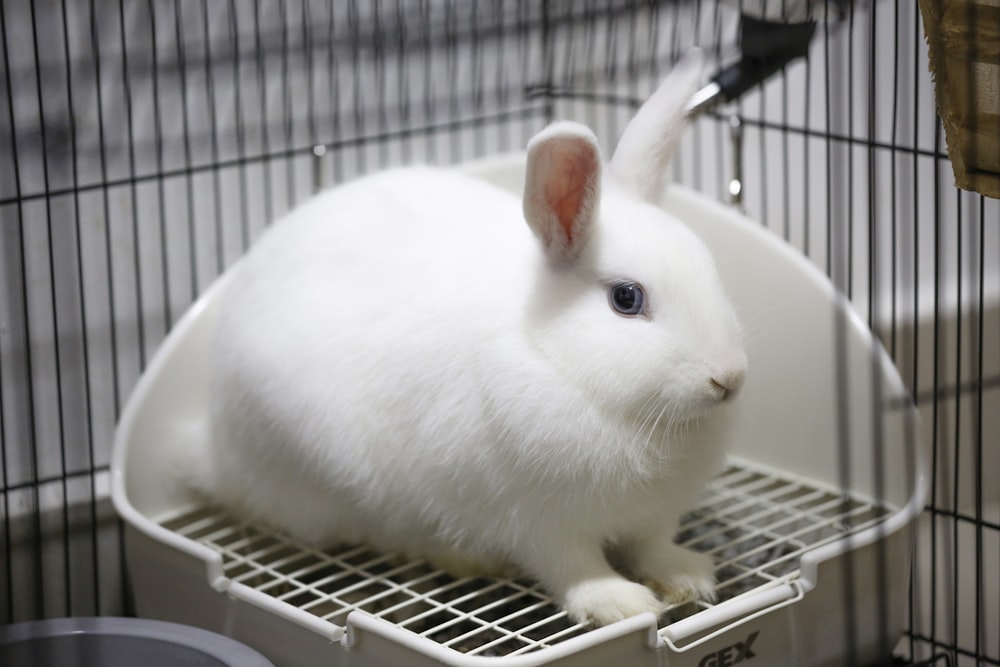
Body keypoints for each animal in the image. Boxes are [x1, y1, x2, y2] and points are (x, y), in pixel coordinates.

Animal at [191, 51, 748, 628]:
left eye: (709, 268)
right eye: (627, 299)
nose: (729, 378)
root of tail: (212, 451)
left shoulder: (653, 516)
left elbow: (652, 546)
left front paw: (687, 576)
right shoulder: (535, 520)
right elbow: (574, 567)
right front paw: (618, 603)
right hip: (324, 474)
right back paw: (461, 558)